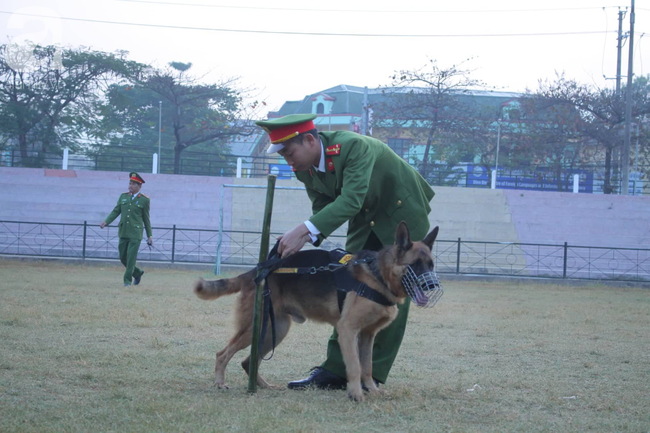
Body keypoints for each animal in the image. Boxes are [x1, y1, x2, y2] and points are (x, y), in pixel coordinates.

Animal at [191, 221, 436, 400]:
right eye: (415, 264)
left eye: (431, 265)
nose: (431, 285)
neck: (378, 275)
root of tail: (257, 271)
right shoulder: (348, 330)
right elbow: (355, 366)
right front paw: (356, 394)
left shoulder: (367, 335)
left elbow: (367, 367)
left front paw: (373, 392)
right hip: (256, 327)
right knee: (223, 353)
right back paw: (220, 383)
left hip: (274, 330)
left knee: (247, 361)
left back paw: (263, 386)